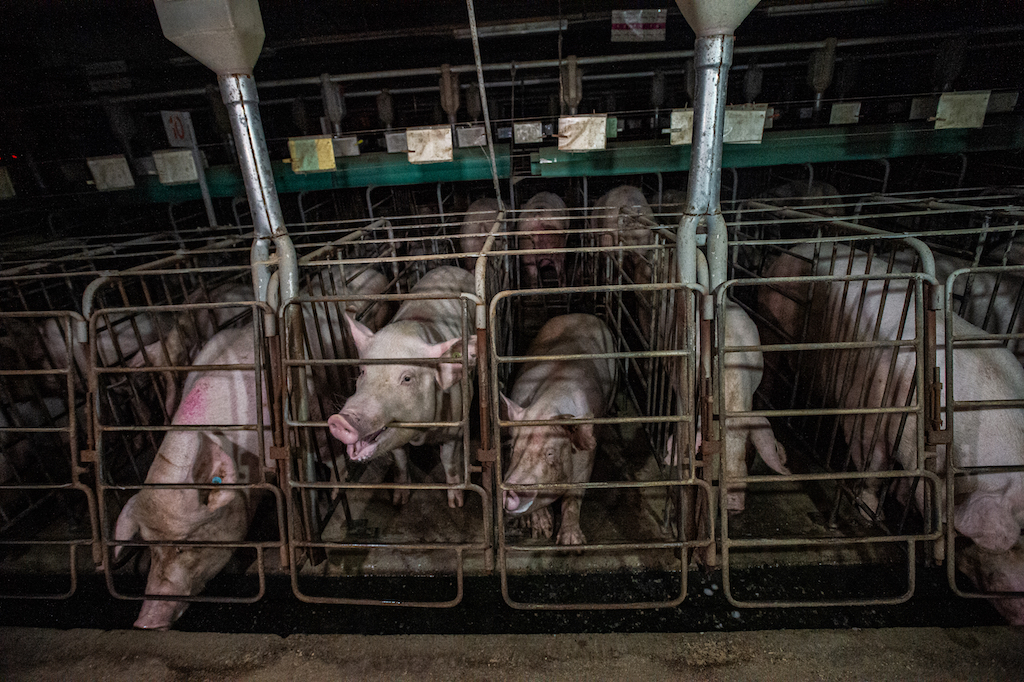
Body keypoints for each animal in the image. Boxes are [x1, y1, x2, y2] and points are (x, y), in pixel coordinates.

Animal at [325, 266, 477, 503]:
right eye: (363, 371)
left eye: (407, 378)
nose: (341, 420)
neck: (420, 435)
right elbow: (400, 460)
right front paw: (399, 500)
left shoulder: (455, 426)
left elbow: (448, 461)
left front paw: (456, 502)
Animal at [497, 311, 610, 540]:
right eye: (513, 448)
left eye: (550, 454)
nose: (511, 490)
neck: (549, 402)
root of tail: (578, 314)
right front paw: (541, 531)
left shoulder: (586, 459)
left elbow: (574, 496)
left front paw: (572, 543)